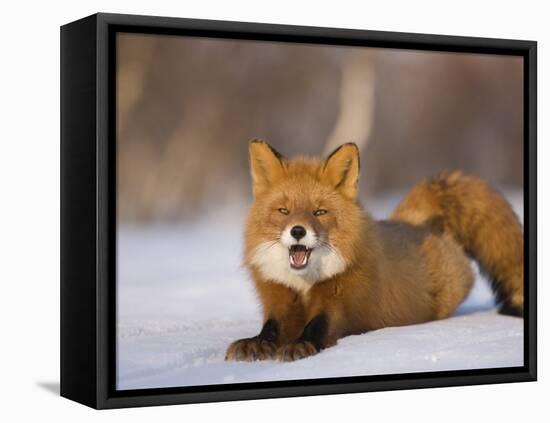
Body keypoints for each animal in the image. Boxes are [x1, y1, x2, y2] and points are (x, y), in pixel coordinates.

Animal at [225, 141, 528, 362]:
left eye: (319, 212)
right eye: (283, 211)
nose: (298, 231)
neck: (304, 283)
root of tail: (414, 222)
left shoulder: (340, 301)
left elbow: (317, 326)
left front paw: (302, 345)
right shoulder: (279, 297)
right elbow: (271, 328)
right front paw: (256, 343)